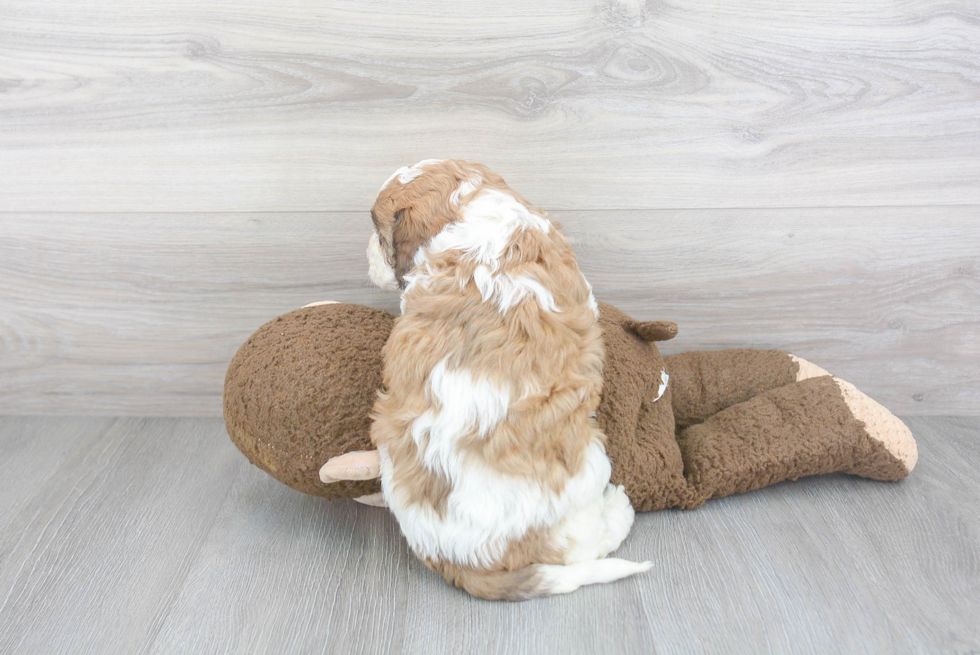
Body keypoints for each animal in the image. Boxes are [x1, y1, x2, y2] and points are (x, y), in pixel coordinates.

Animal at [364, 159, 648, 600]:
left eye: (378, 235)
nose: (366, 253)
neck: (468, 205)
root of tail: (459, 558)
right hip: (590, 464)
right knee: (582, 546)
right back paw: (619, 509)